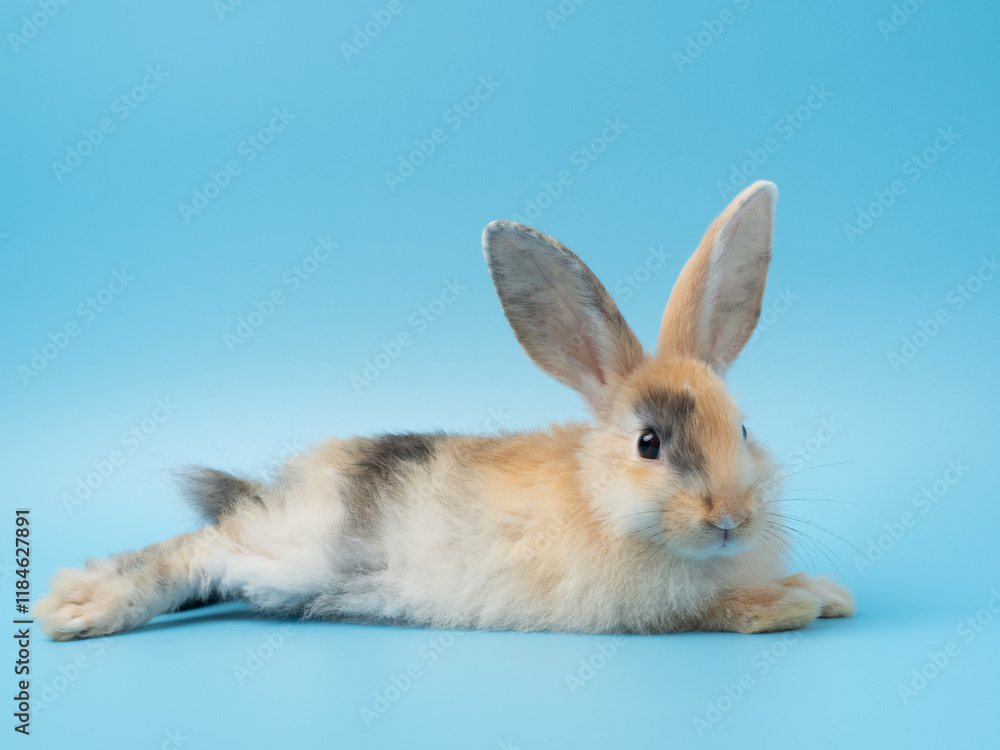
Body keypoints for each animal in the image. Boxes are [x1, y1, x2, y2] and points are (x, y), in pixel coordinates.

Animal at [37, 179, 853, 640]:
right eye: (649, 443)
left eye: (742, 428)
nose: (730, 519)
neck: (603, 500)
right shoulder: (656, 609)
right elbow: (724, 609)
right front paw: (796, 601)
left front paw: (829, 594)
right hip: (285, 554)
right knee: (193, 551)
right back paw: (75, 608)